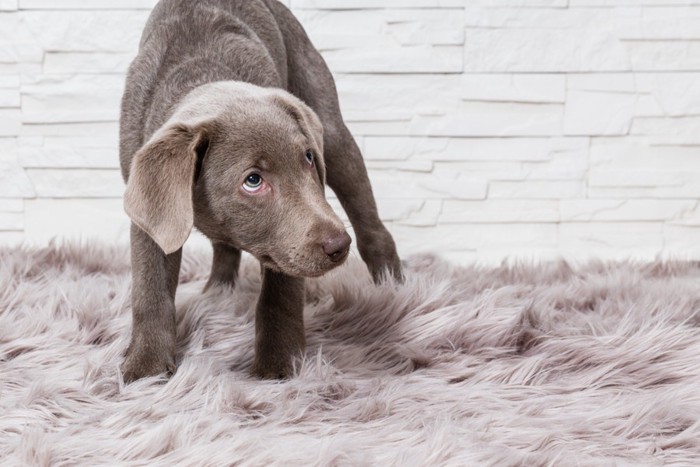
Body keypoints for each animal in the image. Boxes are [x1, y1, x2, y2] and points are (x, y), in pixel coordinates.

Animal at [120, 0, 402, 382]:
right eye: (253, 180)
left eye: (308, 158)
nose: (339, 245)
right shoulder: (153, 208)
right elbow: (150, 285)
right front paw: (146, 370)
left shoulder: (287, 241)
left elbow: (280, 293)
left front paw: (277, 366)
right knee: (224, 249)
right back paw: (218, 293)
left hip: (328, 120)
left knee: (369, 218)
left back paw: (393, 289)